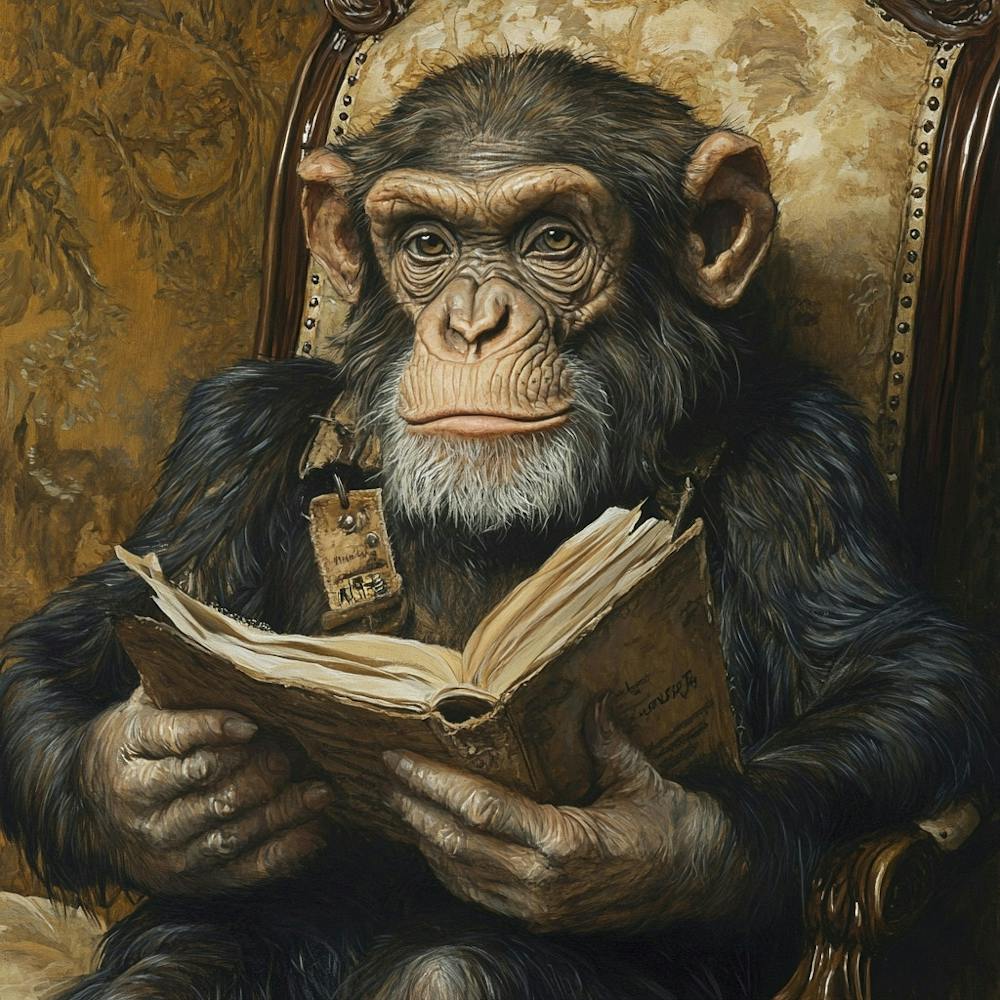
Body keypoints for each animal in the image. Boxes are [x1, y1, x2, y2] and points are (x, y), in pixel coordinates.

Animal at [1, 49, 996, 1000]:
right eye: (427, 244)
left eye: (552, 239)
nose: (473, 322)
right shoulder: (229, 440)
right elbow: (85, 636)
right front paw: (151, 787)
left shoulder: (807, 460)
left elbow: (902, 674)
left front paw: (645, 846)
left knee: (452, 970)